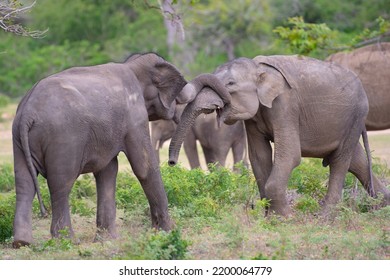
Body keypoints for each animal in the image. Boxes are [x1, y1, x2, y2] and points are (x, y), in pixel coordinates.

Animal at [11, 52, 229, 247]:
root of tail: (28, 112)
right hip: (63, 138)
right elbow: (144, 166)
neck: (133, 66)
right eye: (178, 93)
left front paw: (108, 240)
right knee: (60, 185)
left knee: (24, 184)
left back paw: (22, 243)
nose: (172, 163)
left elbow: (108, 171)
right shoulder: (134, 115)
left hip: (18, 139)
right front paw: (168, 231)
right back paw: (67, 241)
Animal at [169, 55, 390, 217]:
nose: (171, 163)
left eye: (230, 83)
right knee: (356, 160)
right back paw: (383, 206)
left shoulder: (286, 105)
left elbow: (290, 155)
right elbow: (259, 157)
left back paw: (324, 216)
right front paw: (269, 217)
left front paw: (283, 218)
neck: (258, 68)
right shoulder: (254, 117)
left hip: (357, 114)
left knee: (340, 160)